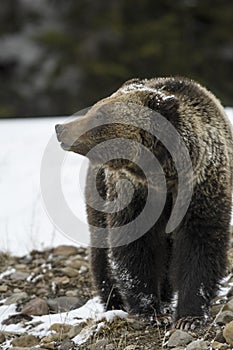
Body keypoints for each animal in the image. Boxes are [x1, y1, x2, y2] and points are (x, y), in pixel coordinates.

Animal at [55, 76, 233, 328]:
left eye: (100, 115)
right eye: (96, 108)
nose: (61, 128)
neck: (162, 176)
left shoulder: (202, 188)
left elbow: (200, 244)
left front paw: (188, 316)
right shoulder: (134, 194)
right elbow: (134, 246)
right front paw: (150, 311)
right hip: (99, 192)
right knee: (101, 249)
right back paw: (114, 301)